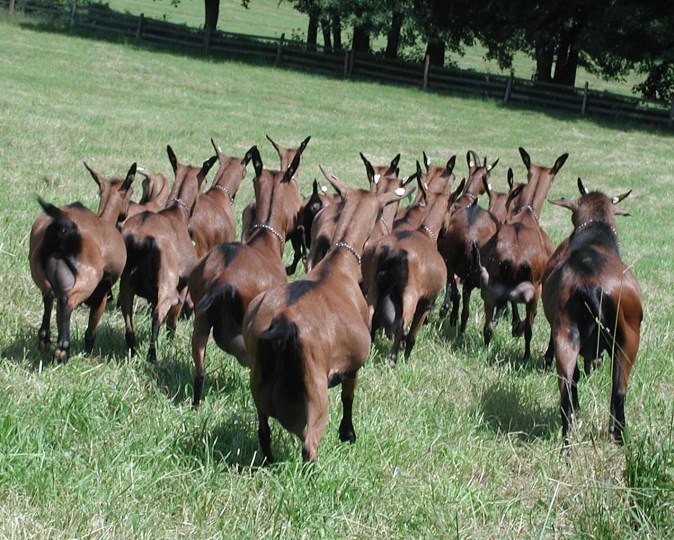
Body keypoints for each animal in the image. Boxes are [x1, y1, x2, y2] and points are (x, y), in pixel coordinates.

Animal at [28, 161, 136, 362]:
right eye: (131, 192)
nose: (125, 214)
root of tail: (64, 226)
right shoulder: (102, 294)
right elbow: (90, 331)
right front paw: (87, 353)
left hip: (38, 268)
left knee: (49, 295)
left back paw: (45, 339)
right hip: (87, 278)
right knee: (67, 302)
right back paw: (63, 348)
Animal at [119, 146, 217, 360]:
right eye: (205, 181)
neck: (176, 211)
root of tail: (141, 238)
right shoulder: (182, 286)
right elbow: (172, 320)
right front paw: (171, 340)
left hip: (126, 285)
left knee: (128, 320)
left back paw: (133, 351)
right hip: (167, 284)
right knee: (157, 316)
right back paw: (152, 356)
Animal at [243, 168, 410, 460]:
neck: (338, 263)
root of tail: (282, 323)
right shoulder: (353, 365)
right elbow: (348, 397)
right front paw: (348, 434)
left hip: (258, 384)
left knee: (263, 432)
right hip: (315, 393)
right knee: (309, 444)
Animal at [478, 148, 568, 358]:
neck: (528, 213)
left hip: (489, 288)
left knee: (488, 327)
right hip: (534, 293)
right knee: (528, 329)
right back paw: (526, 355)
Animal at [540, 178, 640, 448]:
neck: (595, 238)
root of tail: (590, 285)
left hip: (571, 337)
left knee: (571, 390)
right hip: (627, 340)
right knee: (615, 392)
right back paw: (616, 437)